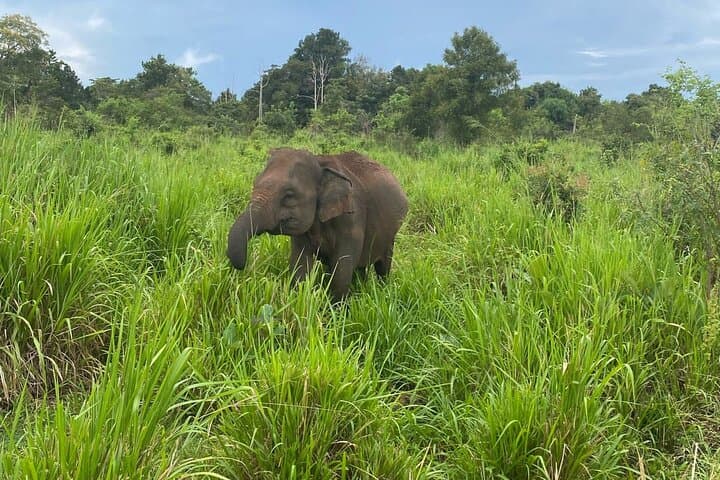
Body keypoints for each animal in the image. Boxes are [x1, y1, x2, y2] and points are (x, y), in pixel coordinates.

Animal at [226, 147, 409, 302]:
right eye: (254, 183)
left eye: (289, 195)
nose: (243, 267)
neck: (320, 162)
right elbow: (300, 265)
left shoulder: (352, 219)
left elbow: (341, 269)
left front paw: (337, 313)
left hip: (390, 234)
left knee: (383, 264)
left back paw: (383, 290)